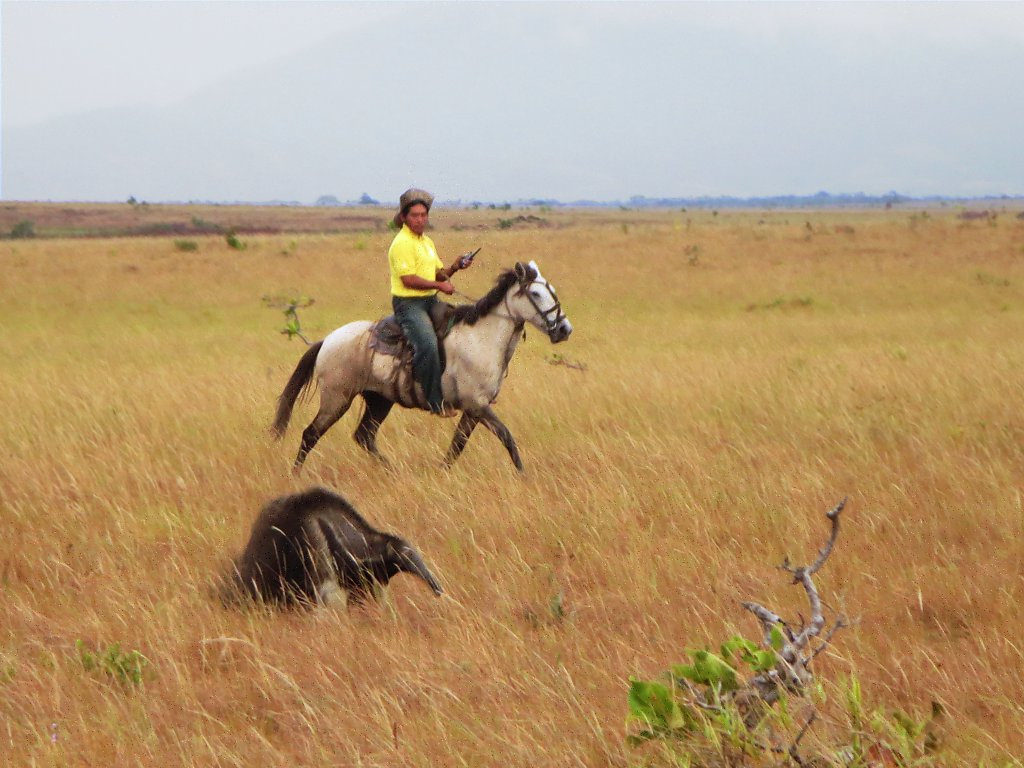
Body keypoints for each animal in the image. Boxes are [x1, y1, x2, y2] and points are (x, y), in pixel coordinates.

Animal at [272, 262, 573, 473]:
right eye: (535, 293)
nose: (564, 329)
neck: (482, 339)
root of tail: (327, 340)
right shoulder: (476, 404)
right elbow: (507, 437)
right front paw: (524, 476)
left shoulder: (475, 409)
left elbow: (457, 446)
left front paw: (442, 473)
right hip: (337, 398)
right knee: (311, 434)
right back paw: (295, 475)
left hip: (379, 400)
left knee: (364, 436)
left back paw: (393, 472)